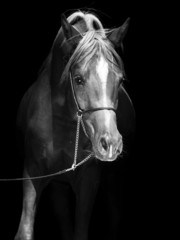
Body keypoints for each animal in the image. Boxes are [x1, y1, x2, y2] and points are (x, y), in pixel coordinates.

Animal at [14, 9, 135, 240]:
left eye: (120, 80)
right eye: (78, 79)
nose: (110, 143)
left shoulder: (89, 179)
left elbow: (80, 231)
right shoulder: (33, 171)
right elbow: (25, 229)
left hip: (114, 178)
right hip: (58, 188)